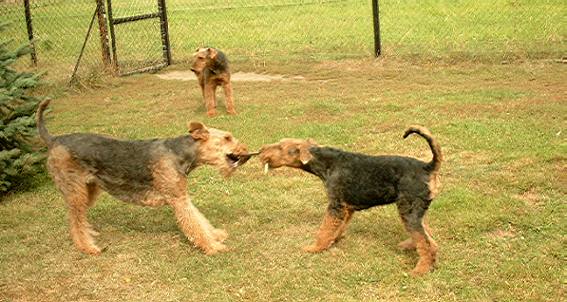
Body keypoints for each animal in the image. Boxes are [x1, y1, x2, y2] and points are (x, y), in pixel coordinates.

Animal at [34, 99, 250, 255]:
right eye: (227, 137)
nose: (247, 154)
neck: (179, 153)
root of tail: (54, 140)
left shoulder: (182, 196)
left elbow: (200, 219)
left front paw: (216, 235)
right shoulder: (178, 199)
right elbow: (194, 224)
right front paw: (213, 247)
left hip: (89, 188)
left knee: (77, 217)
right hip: (75, 190)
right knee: (75, 220)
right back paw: (88, 247)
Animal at [260, 125, 444, 276]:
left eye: (281, 147)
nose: (261, 151)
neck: (326, 163)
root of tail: (428, 166)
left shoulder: (336, 205)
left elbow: (325, 229)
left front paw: (315, 248)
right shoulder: (346, 208)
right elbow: (337, 228)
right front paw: (333, 240)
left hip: (409, 211)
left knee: (426, 243)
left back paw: (419, 270)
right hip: (415, 210)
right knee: (428, 237)